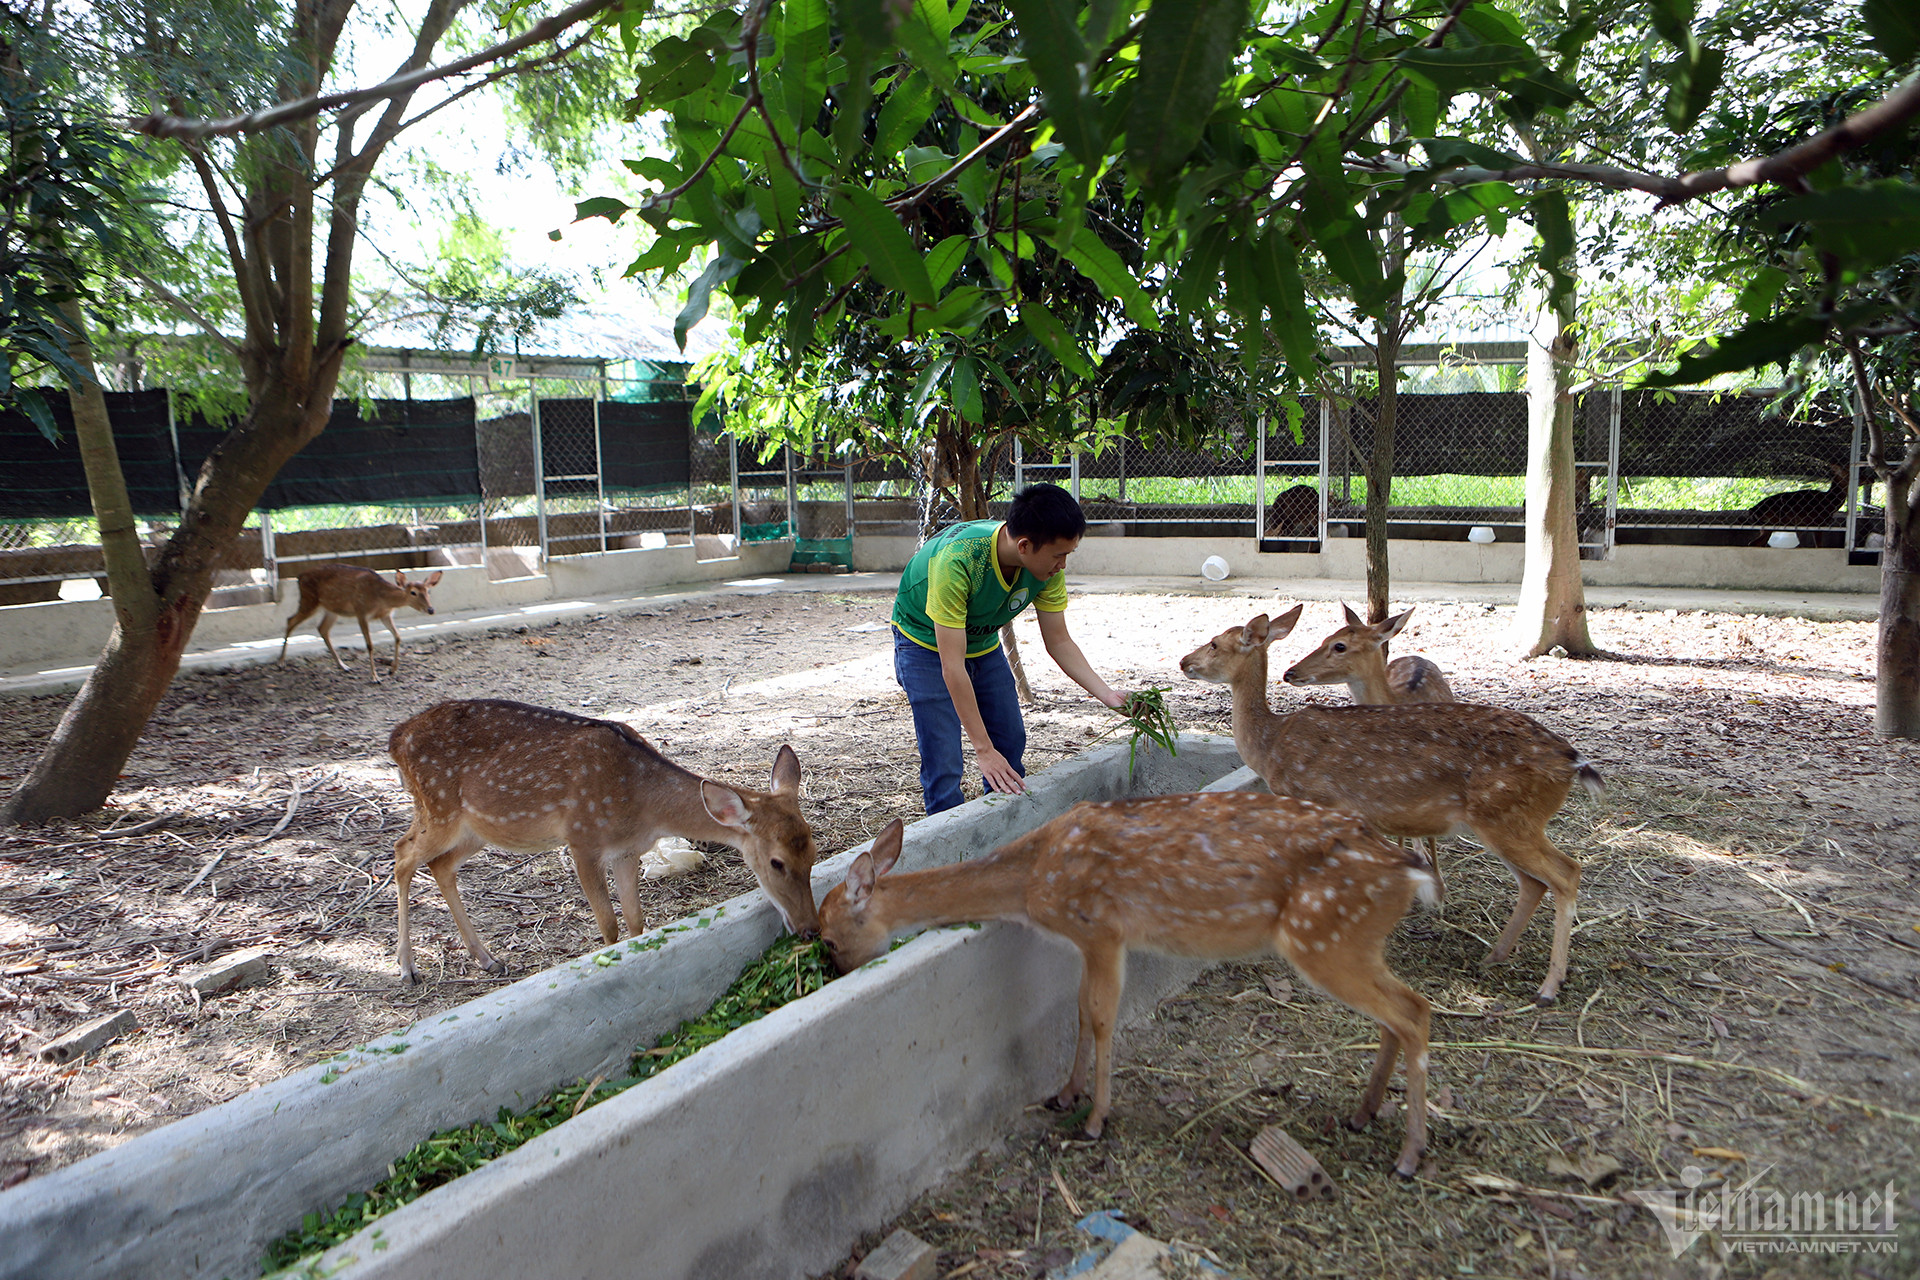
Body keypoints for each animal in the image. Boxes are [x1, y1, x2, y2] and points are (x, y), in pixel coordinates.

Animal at [278, 564, 441, 679]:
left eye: (428, 591)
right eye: (413, 592)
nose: (431, 609)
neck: (381, 599)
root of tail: (299, 577)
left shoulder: (385, 615)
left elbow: (398, 637)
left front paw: (392, 670)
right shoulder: (361, 611)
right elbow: (369, 645)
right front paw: (375, 677)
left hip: (331, 609)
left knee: (322, 629)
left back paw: (343, 666)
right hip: (309, 601)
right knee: (290, 620)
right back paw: (281, 662)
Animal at [389, 706, 817, 990]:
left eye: (812, 854)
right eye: (777, 862)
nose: (811, 929)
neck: (644, 806)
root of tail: (396, 739)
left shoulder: (627, 852)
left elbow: (636, 921)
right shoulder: (582, 839)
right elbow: (609, 926)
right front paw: (609, 966)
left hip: (475, 828)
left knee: (440, 865)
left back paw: (487, 959)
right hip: (438, 807)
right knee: (401, 853)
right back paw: (407, 968)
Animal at [817, 802, 1436, 1182]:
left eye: (825, 936)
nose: (836, 971)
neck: (1031, 883)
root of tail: (1410, 870)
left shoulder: (1102, 929)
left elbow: (1099, 1016)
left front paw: (1095, 1119)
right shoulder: (1087, 942)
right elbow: (1077, 1012)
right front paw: (1064, 1095)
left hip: (1324, 935)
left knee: (1415, 1010)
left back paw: (1409, 1156)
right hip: (1353, 942)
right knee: (1398, 1013)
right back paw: (1362, 1114)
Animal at [1182, 614, 1605, 1013]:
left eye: (1215, 643)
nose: (1184, 661)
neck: (1271, 746)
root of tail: (1574, 762)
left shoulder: (1319, 800)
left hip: (1508, 815)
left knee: (1566, 872)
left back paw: (1548, 987)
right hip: (1502, 822)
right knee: (1534, 882)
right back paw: (1493, 957)